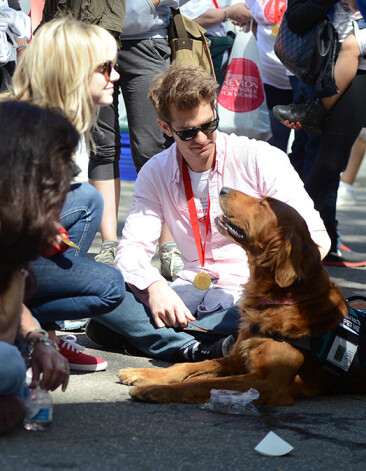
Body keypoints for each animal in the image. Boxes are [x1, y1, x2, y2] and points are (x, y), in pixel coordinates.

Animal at [118, 188, 364, 406]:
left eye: (262, 204)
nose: (224, 189)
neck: (284, 300)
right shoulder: (235, 359)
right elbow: (187, 367)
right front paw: (144, 373)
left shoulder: (269, 382)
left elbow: (201, 384)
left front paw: (154, 389)